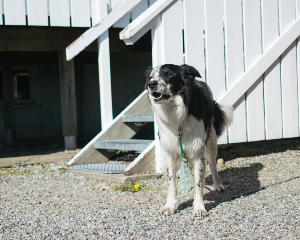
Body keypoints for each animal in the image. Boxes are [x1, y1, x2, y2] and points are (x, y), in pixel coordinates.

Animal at [144, 63, 233, 216]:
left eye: (168, 74)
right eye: (151, 77)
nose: (151, 84)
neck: (176, 114)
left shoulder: (198, 151)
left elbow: (198, 182)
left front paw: (199, 207)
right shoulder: (170, 152)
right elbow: (171, 182)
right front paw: (170, 205)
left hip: (210, 141)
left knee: (212, 165)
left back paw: (217, 185)